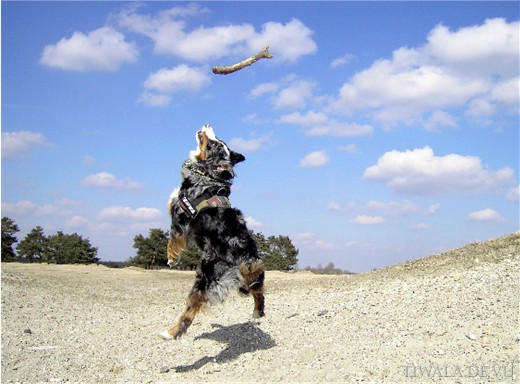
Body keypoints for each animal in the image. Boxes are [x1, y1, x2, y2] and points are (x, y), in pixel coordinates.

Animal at [160, 124, 266, 340]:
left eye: (214, 143)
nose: (208, 125)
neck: (206, 175)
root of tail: (242, 261)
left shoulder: (178, 217)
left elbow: (172, 240)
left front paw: (172, 258)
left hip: (202, 279)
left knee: (189, 311)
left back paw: (170, 332)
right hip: (254, 274)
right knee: (258, 292)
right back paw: (257, 312)